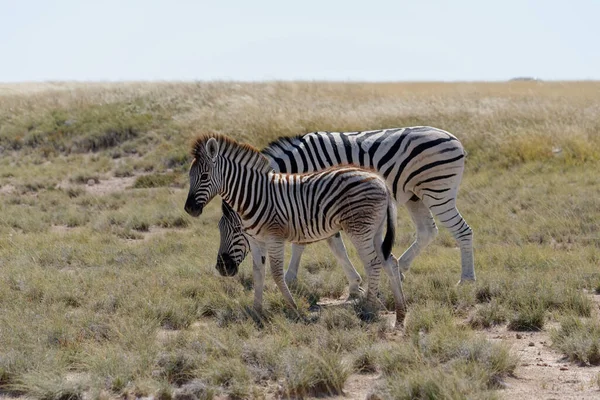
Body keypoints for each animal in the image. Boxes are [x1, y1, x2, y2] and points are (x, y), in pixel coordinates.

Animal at [183, 133, 408, 326]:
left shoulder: (274, 238)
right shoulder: (256, 241)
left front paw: (294, 308)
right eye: (190, 176)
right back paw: (400, 312)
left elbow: (276, 274)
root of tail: (380, 180)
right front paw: (257, 312)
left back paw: (369, 309)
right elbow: (258, 273)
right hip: (375, 230)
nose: (189, 209)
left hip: (359, 230)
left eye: (204, 176)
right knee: (390, 261)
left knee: (373, 264)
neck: (255, 196)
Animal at [216, 126, 474, 290]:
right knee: (427, 231)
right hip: (415, 196)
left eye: (238, 230)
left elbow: (322, 245)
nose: (222, 269)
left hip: (438, 192)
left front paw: (291, 278)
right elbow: (321, 244)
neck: (297, 169)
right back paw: (400, 269)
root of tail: (454, 138)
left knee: (462, 231)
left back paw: (467, 280)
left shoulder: (315, 203)